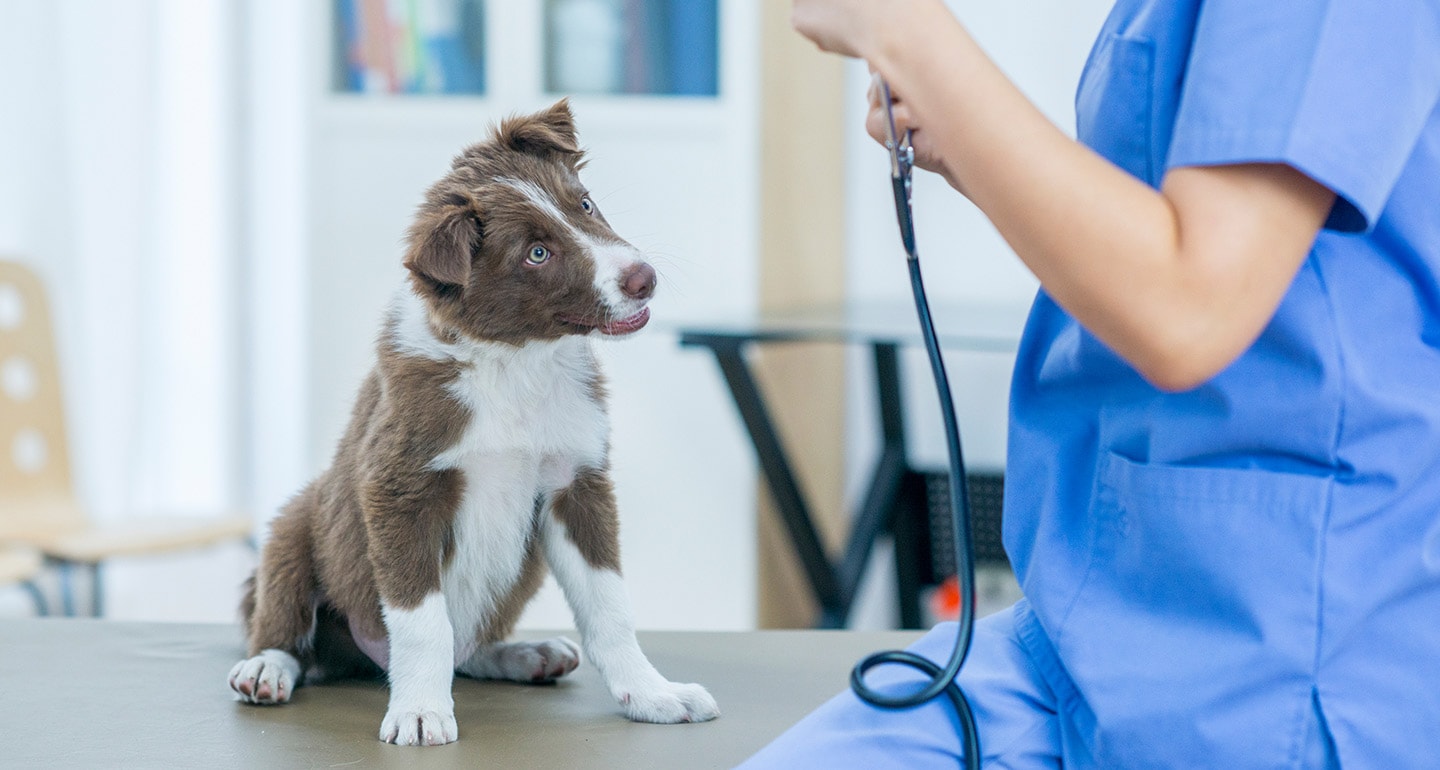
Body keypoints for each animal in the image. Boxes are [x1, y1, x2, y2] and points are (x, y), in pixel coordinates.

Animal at [228, 99, 720, 742]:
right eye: (536, 254)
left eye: (584, 204)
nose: (644, 278)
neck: (516, 363)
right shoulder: (399, 488)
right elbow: (423, 623)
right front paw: (419, 711)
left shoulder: (577, 482)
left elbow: (610, 607)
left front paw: (653, 694)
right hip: (296, 524)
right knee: (286, 622)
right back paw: (267, 666)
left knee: (470, 649)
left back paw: (522, 655)